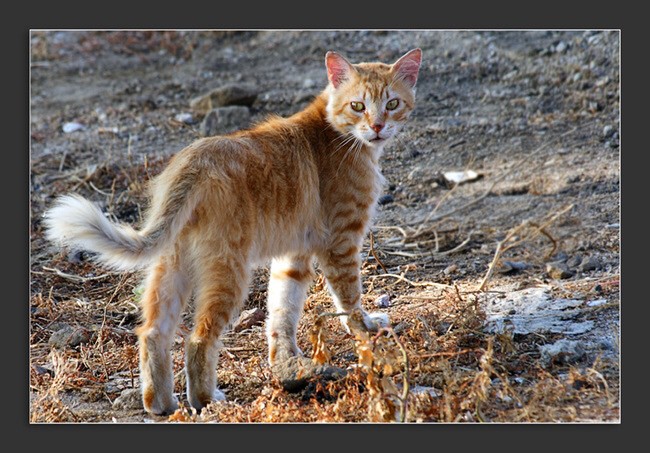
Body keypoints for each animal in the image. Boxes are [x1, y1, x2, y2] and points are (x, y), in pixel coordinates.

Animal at [43, 47, 422, 414]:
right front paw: (365, 330)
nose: (377, 126)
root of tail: (195, 160)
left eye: (392, 104)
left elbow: (282, 311)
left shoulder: (293, 257)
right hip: (230, 273)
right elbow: (349, 299)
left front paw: (286, 362)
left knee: (153, 332)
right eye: (358, 105)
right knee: (198, 338)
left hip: (172, 268)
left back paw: (161, 404)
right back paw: (206, 400)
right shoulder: (341, 243)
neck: (336, 132)